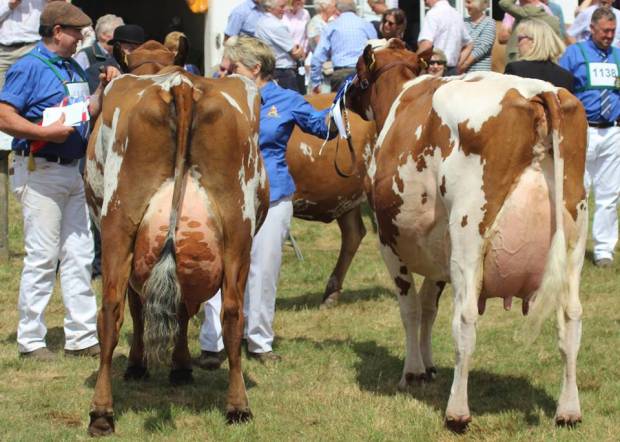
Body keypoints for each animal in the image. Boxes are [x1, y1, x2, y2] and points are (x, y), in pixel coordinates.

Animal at [346, 39, 588, 434]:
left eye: (359, 73)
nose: (349, 95)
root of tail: (536, 93)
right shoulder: (437, 253)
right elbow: (428, 306)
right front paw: (428, 366)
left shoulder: (389, 243)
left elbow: (411, 308)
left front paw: (413, 371)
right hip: (573, 237)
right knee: (570, 319)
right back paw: (568, 410)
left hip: (468, 235)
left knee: (465, 322)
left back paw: (457, 412)